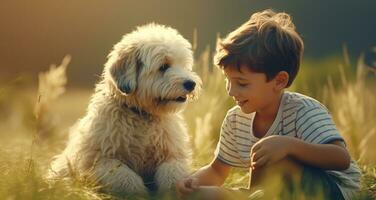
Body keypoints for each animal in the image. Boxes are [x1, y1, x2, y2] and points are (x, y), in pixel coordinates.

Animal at [50, 23, 203, 195]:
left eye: (183, 65)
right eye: (164, 66)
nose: (191, 84)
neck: (142, 115)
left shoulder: (173, 156)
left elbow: (172, 173)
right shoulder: (101, 161)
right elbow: (125, 176)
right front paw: (139, 193)